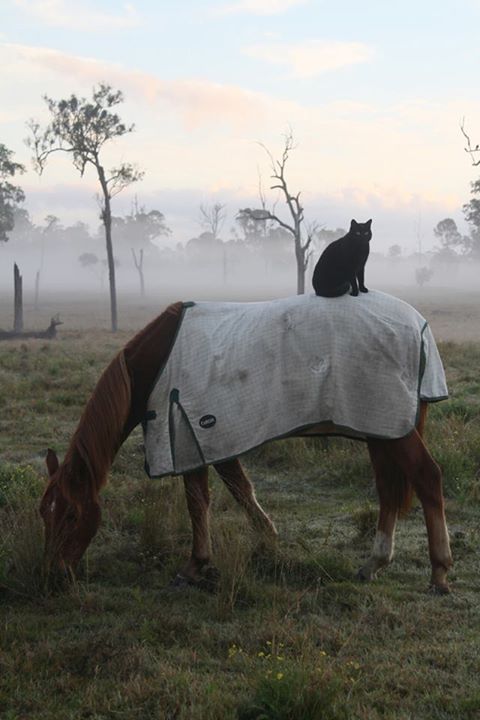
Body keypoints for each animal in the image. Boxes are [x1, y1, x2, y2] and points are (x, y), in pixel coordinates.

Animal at [41, 300, 454, 592]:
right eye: (45, 514)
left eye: (72, 515)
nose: (56, 574)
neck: (155, 364)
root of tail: (418, 326)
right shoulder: (211, 440)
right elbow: (238, 488)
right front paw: (267, 538)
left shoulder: (187, 435)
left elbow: (199, 500)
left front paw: (195, 566)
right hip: (380, 428)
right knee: (389, 489)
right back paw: (374, 564)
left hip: (392, 430)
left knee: (427, 478)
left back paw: (439, 573)